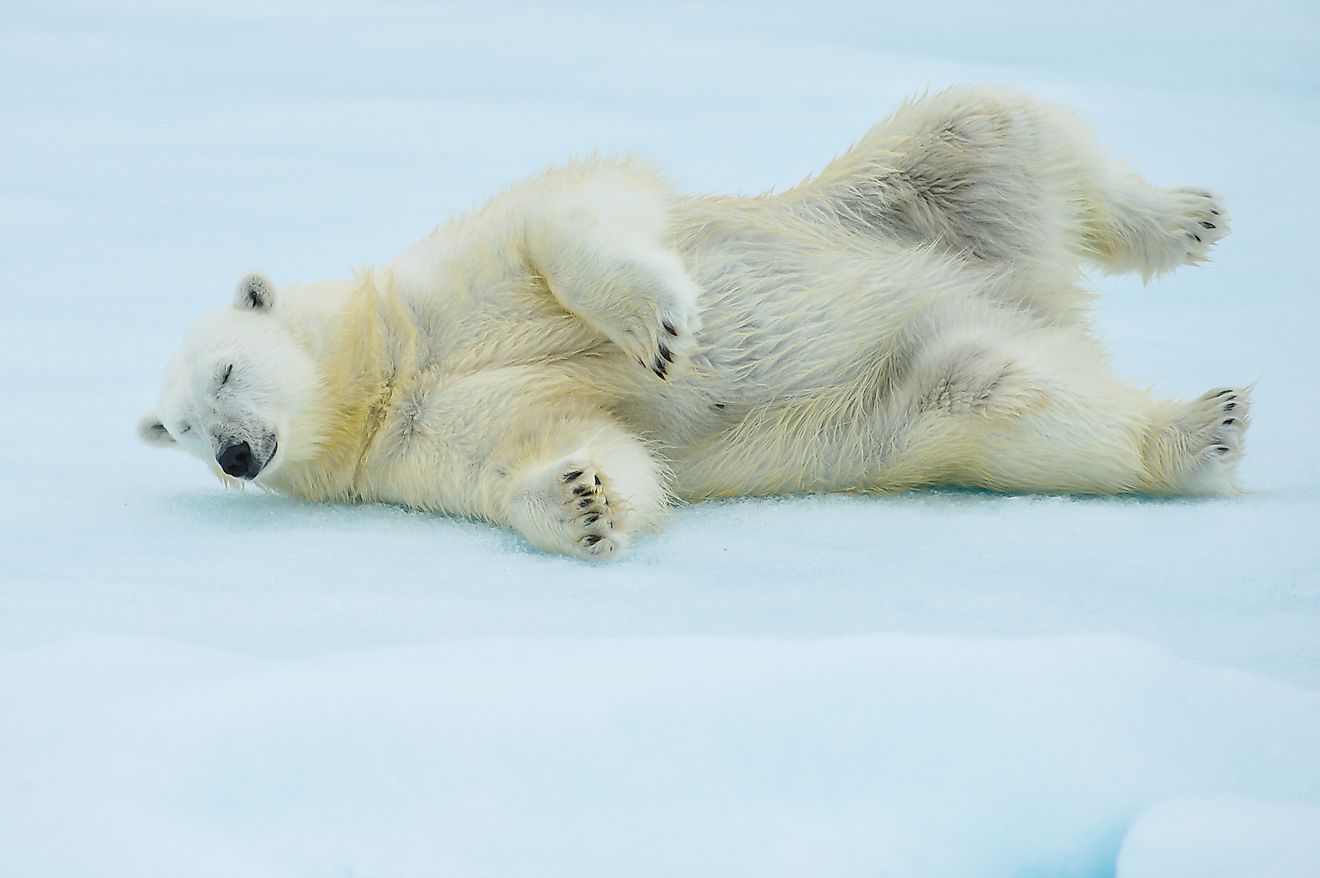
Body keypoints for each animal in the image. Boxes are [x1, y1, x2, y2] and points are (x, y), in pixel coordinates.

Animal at [141, 87, 1246, 554]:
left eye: (227, 373)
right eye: (186, 434)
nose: (237, 453)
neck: (387, 373)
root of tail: (1032, 289)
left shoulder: (444, 280)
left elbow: (569, 218)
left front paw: (659, 328)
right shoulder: (408, 445)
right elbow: (554, 448)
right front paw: (580, 500)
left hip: (899, 198)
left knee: (985, 125)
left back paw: (1184, 216)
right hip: (925, 376)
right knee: (1005, 398)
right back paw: (1196, 432)